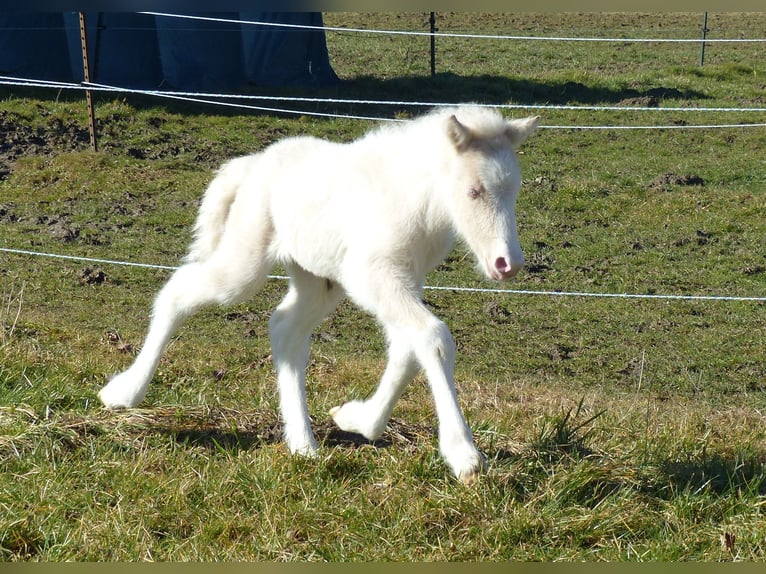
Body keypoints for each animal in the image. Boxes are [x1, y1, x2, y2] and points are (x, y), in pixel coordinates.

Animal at [98, 105, 540, 484]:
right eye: (473, 191)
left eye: (515, 190)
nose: (508, 263)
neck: (413, 199)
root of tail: (253, 164)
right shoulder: (374, 276)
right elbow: (432, 338)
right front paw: (464, 454)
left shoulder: (406, 279)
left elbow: (407, 351)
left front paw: (356, 419)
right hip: (246, 265)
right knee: (179, 292)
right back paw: (124, 392)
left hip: (319, 280)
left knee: (284, 328)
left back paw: (302, 443)